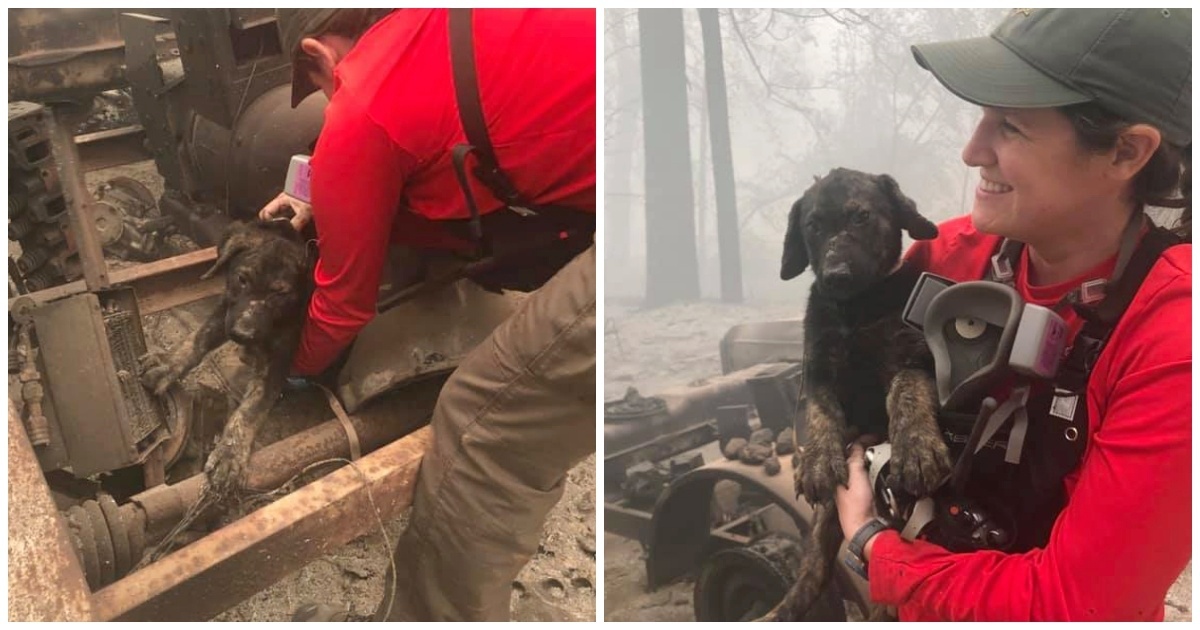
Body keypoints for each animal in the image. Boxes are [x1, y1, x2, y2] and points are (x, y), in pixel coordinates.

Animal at [141, 220, 312, 496]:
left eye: (279, 294)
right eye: (242, 279)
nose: (242, 334)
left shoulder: (280, 356)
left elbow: (252, 407)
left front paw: (229, 454)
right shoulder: (226, 311)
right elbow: (198, 338)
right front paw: (167, 365)